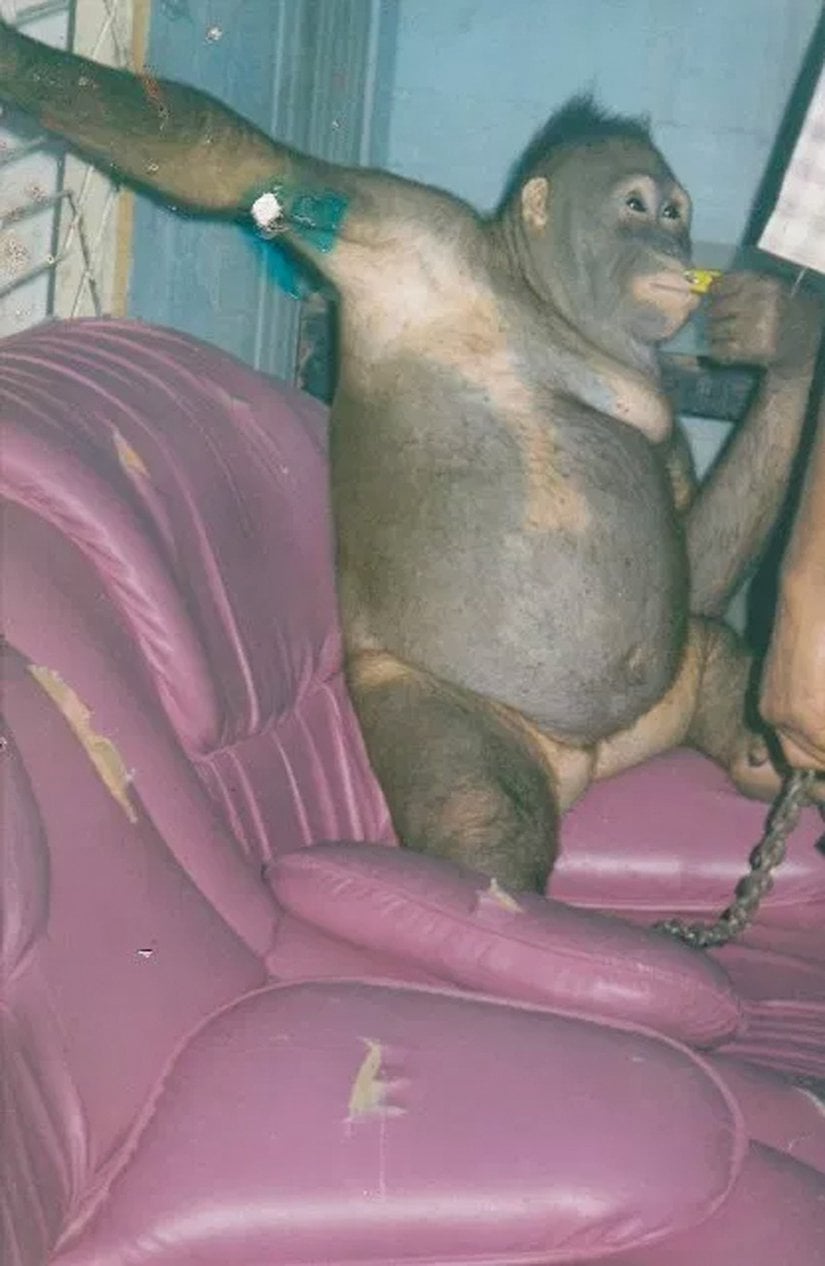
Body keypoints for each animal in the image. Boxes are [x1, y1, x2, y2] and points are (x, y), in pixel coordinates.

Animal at [1, 22, 822, 891]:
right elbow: (242, 166)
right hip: (442, 705)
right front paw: (17, 60)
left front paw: (786, 340)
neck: (544, 302)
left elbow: (692, 554)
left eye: (675, 212)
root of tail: (587, 764)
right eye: (637, 206)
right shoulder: (409, 226)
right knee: (480, 822)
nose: (671, 242)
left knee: (714, 659)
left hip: (660, 698)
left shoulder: (662, 408)